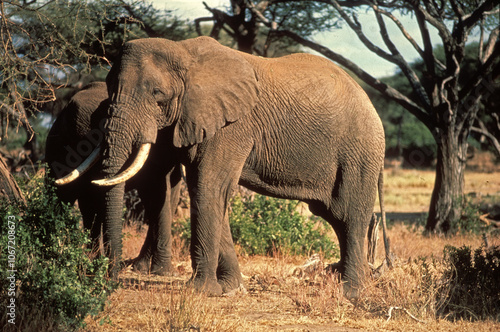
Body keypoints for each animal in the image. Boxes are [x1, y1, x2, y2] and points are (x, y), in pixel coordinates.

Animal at [63, 37, 386, 298]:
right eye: (108, 87)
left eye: (157, 94)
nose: (112, 278)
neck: (184, 52)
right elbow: (205, 191)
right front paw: (231, 288)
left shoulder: (231, 126)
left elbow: (208, 187)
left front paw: (200, 291)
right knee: (335, 216)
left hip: (360, 151)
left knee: (351, 214)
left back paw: (351, 293)